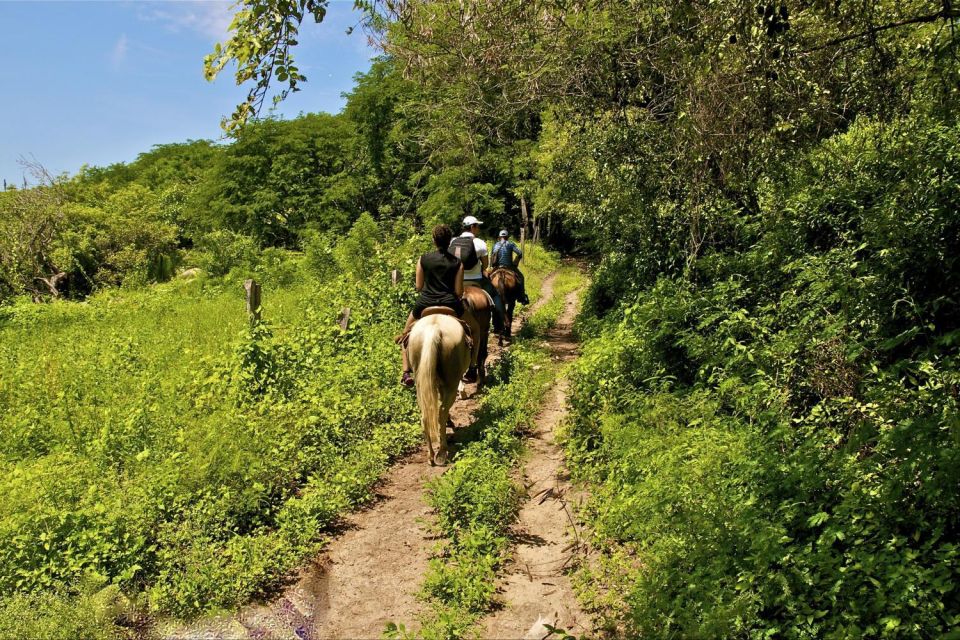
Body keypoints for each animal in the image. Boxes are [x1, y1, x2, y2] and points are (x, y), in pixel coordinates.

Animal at [406, 314, 470, 464]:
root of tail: (434, 329)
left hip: (420, 384)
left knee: (425, 416)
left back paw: (430, 455)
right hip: (451, 383)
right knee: (442, 412)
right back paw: (442, 451)